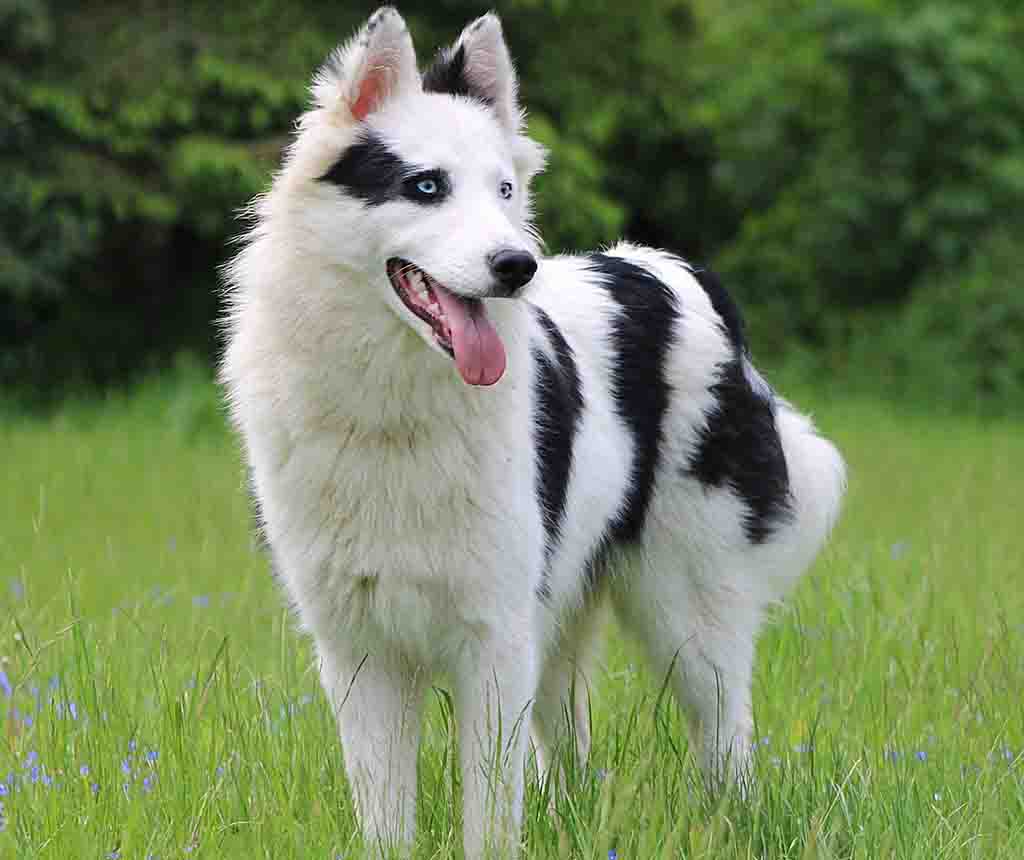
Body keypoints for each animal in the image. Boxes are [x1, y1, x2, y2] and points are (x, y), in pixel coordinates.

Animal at [220, 8, 843, 860]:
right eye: (426, 186)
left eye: (505, 190)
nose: (518, 266)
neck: (395, 406)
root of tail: (677, 273)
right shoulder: (363, 655)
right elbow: (388, 816)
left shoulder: (493, 641)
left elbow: (488, 814)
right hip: (561, 626)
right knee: (571, 756)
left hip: (686, 617)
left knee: (728, 745)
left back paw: (732, 827)